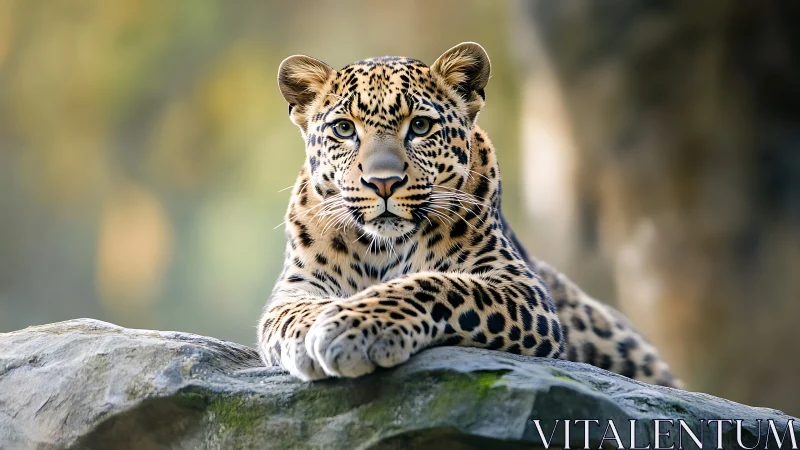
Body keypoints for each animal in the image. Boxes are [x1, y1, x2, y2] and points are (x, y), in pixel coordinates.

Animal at [257, 42, 681, 388]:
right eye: (344, 129)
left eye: (420, 126)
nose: (383, 183)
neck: (383, 248)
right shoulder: (294, 288)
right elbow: (290, 314)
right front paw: (314, 334)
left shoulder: (522, 289)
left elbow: (439, 284)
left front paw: (351, 327)